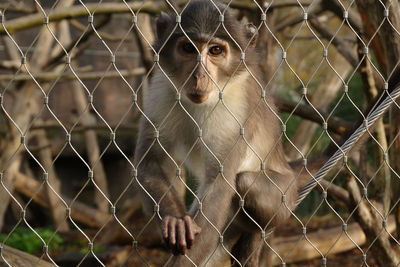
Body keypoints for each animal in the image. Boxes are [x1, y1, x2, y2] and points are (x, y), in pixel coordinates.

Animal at [134, 1, 296, 266]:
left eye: (216, 50)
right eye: (188, 48)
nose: (199, 75)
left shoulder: (236, 108)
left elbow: (219, 185)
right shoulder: (160, 88)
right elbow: (150, 162)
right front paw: (175, 223)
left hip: (285, 197)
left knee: (245, 182)